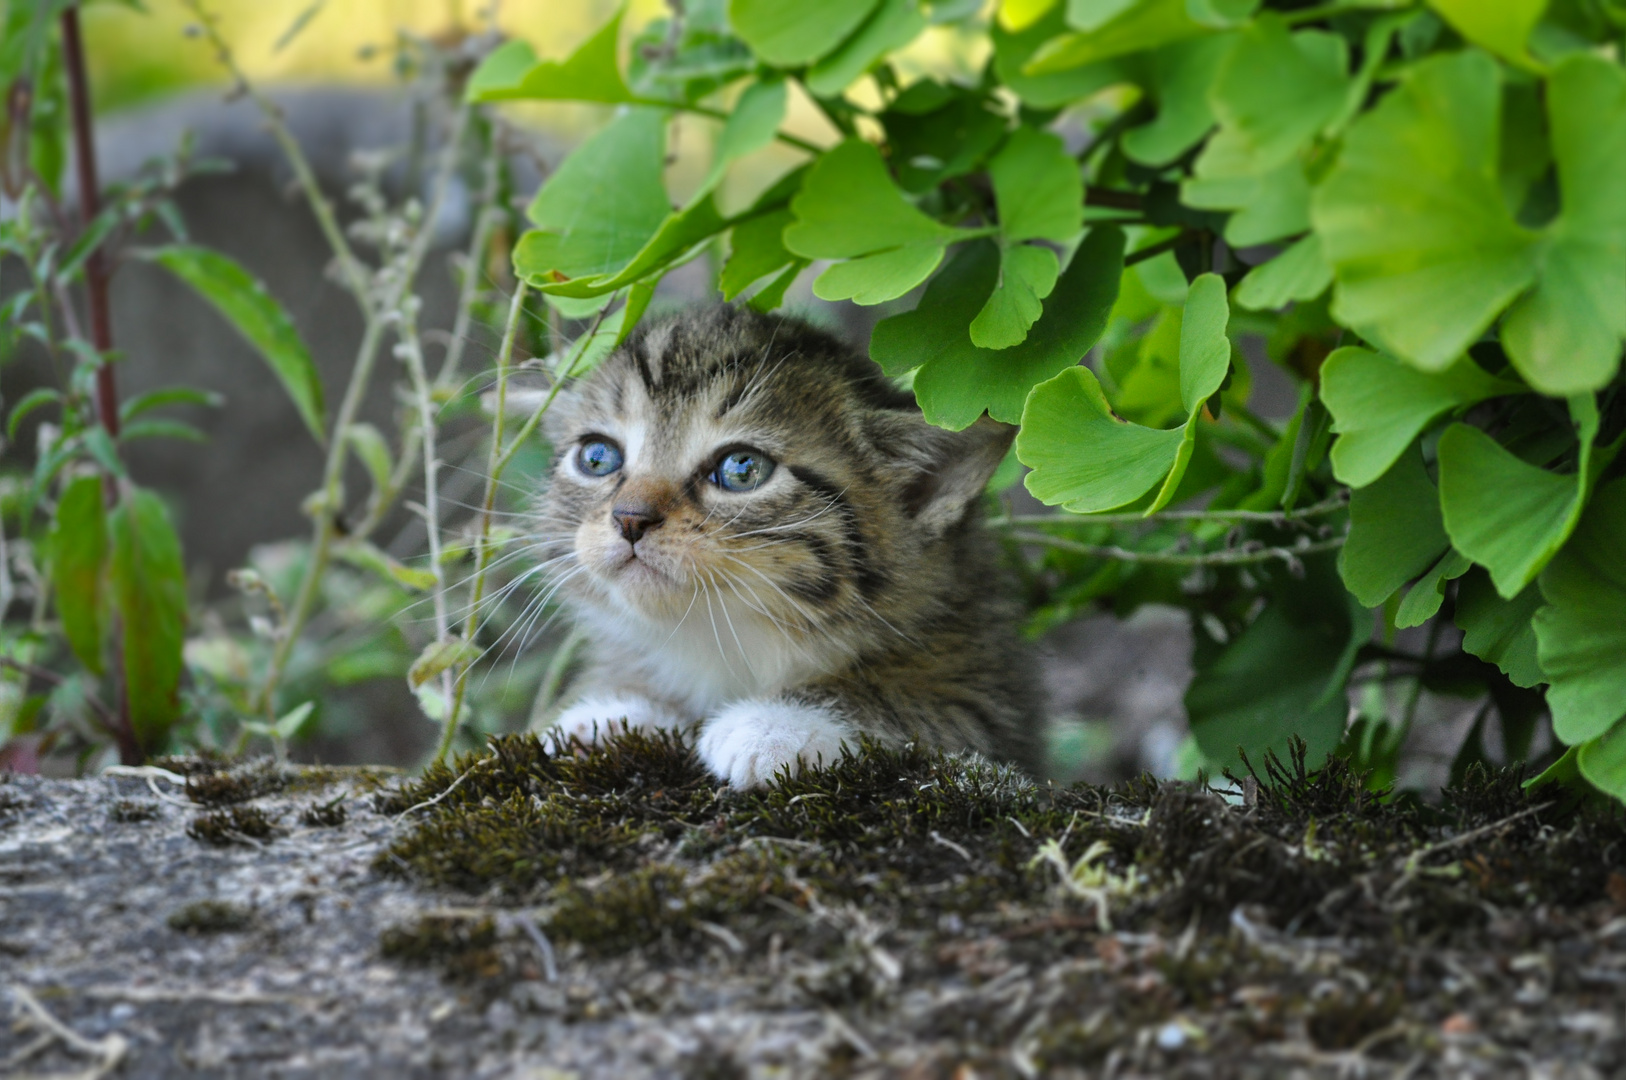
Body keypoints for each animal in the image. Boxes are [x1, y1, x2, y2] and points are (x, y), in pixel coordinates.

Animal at [533, 304, 1040, 783]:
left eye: (742, 469)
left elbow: (919, 697)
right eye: (597, 457)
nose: (630, 517)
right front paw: (617, 708)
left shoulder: (990, 689)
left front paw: (777, 724)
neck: (727, 641)